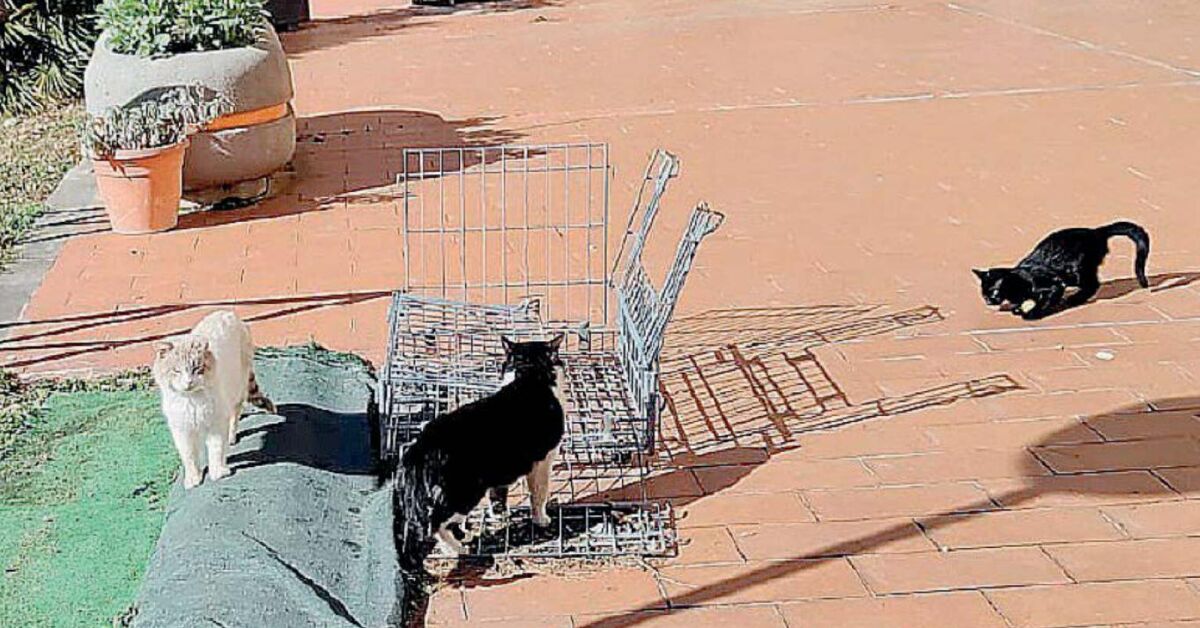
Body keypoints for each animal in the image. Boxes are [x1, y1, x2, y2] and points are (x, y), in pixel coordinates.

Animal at [151, 312, 273, 489]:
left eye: (197, 369)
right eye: (176, 371)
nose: (188, 382)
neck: (191, 399)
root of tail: (228, 312)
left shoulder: (216, 422)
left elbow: (216, 448)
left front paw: (218, 472)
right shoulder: (181, 429)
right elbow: (189, 456)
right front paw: (193, 479)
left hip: (236, 390)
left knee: (234, 415)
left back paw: (231, 437)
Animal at [391, 333, 564, 559]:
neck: (528, 376)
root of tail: (418, 450)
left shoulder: (503, 470)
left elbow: (498, 495)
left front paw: (499, 513)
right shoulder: (543, 462)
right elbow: (539, 495)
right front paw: (541, 519)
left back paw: (463, 536)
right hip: (464, 493)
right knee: (436, 524)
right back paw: (456, 549)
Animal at [969, 220, 1147, 319]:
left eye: (993, 292)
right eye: (983, 294)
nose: (988, 300)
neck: (1019, 282)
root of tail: (1095, 232)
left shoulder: (1054, 285)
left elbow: (1046, 300)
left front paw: (1033, 314)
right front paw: (1018, 308)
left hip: (1077, 272)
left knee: (1093, 285)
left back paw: (1074, 299)